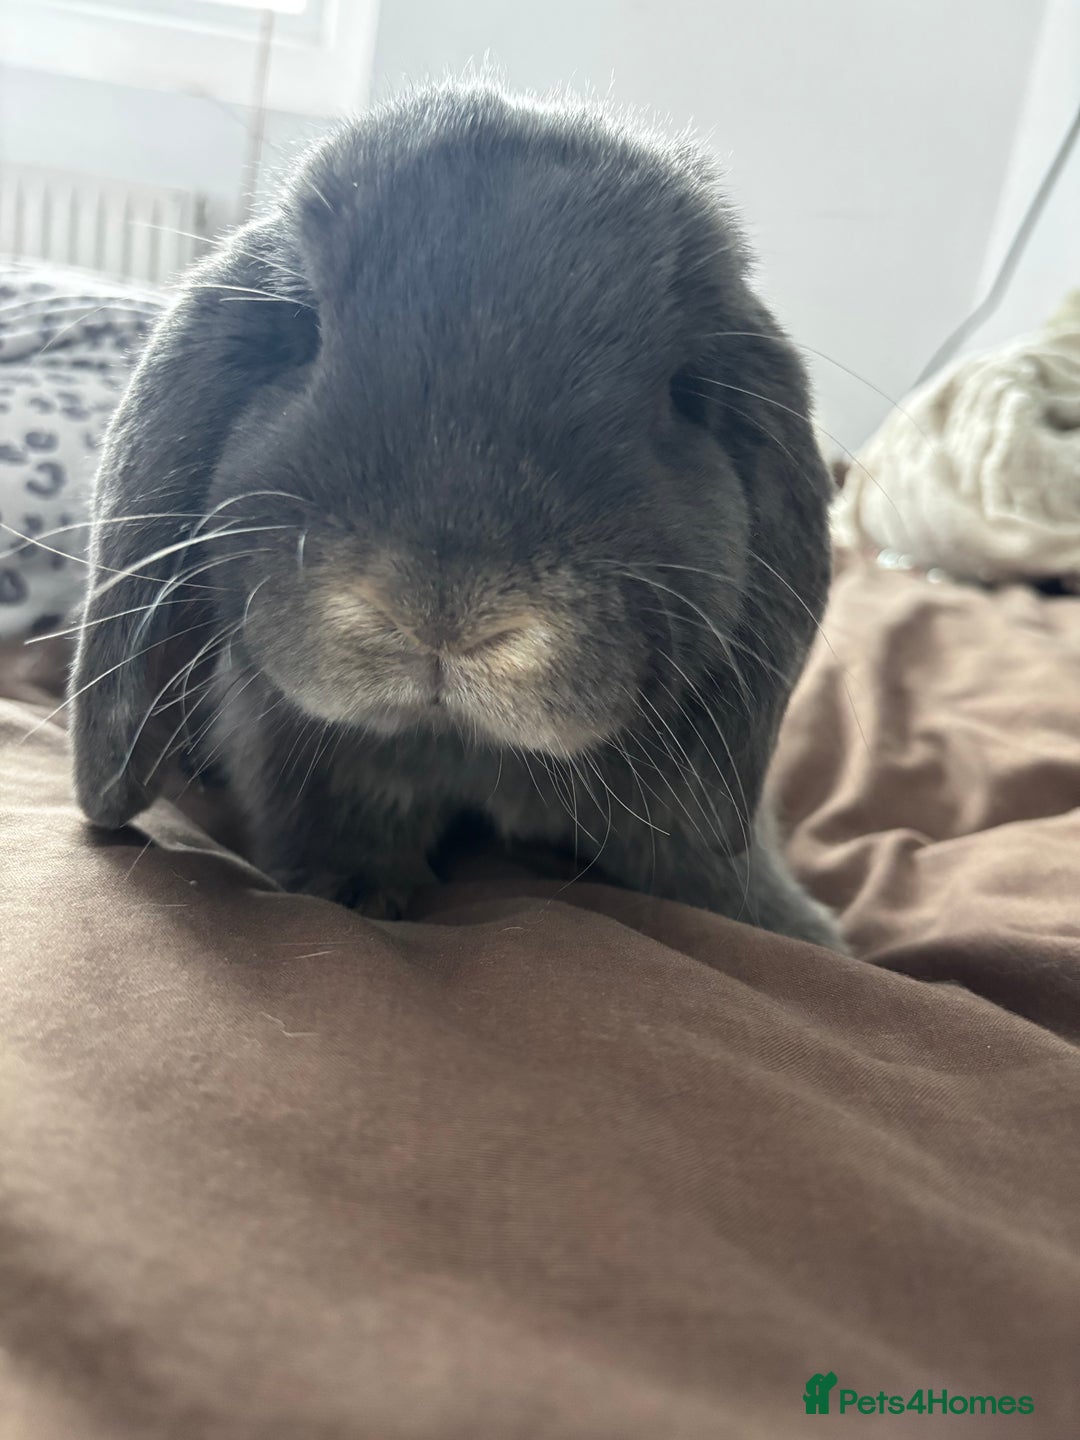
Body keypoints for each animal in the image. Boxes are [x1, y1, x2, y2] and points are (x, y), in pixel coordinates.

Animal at [68, 79, 844, 949]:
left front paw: (801, 933)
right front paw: (358, 893)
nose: (442, 609)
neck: (466, 749)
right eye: (302, 331)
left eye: (685, 391)